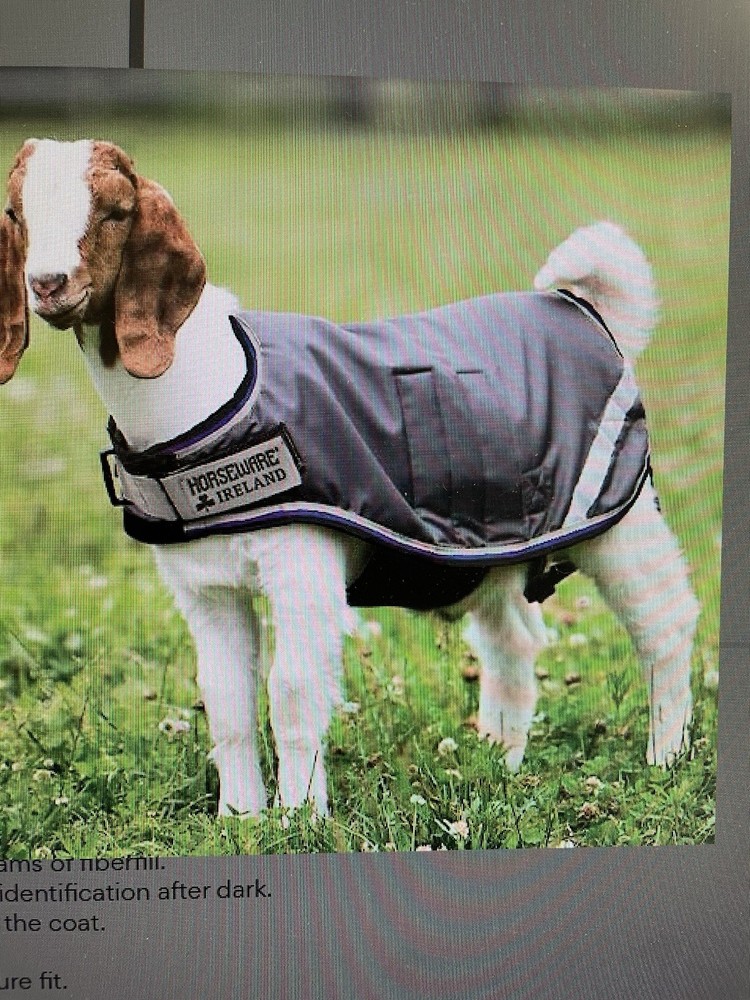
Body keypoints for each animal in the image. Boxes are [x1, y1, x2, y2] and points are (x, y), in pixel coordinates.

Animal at [0, 138, 699, 817]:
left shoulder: (302, 567)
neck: (208, 390)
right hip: (490, 544)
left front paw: (301, 819)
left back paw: (664, 757)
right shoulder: (203, 586)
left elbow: (291, 691)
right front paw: (239, 819)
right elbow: (226, 701)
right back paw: (499, 761)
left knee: (665, 621)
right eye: (16, 213)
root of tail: (579, 306)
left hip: (617, 513)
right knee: (515, 641)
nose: (49, 283)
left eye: (115, 211)